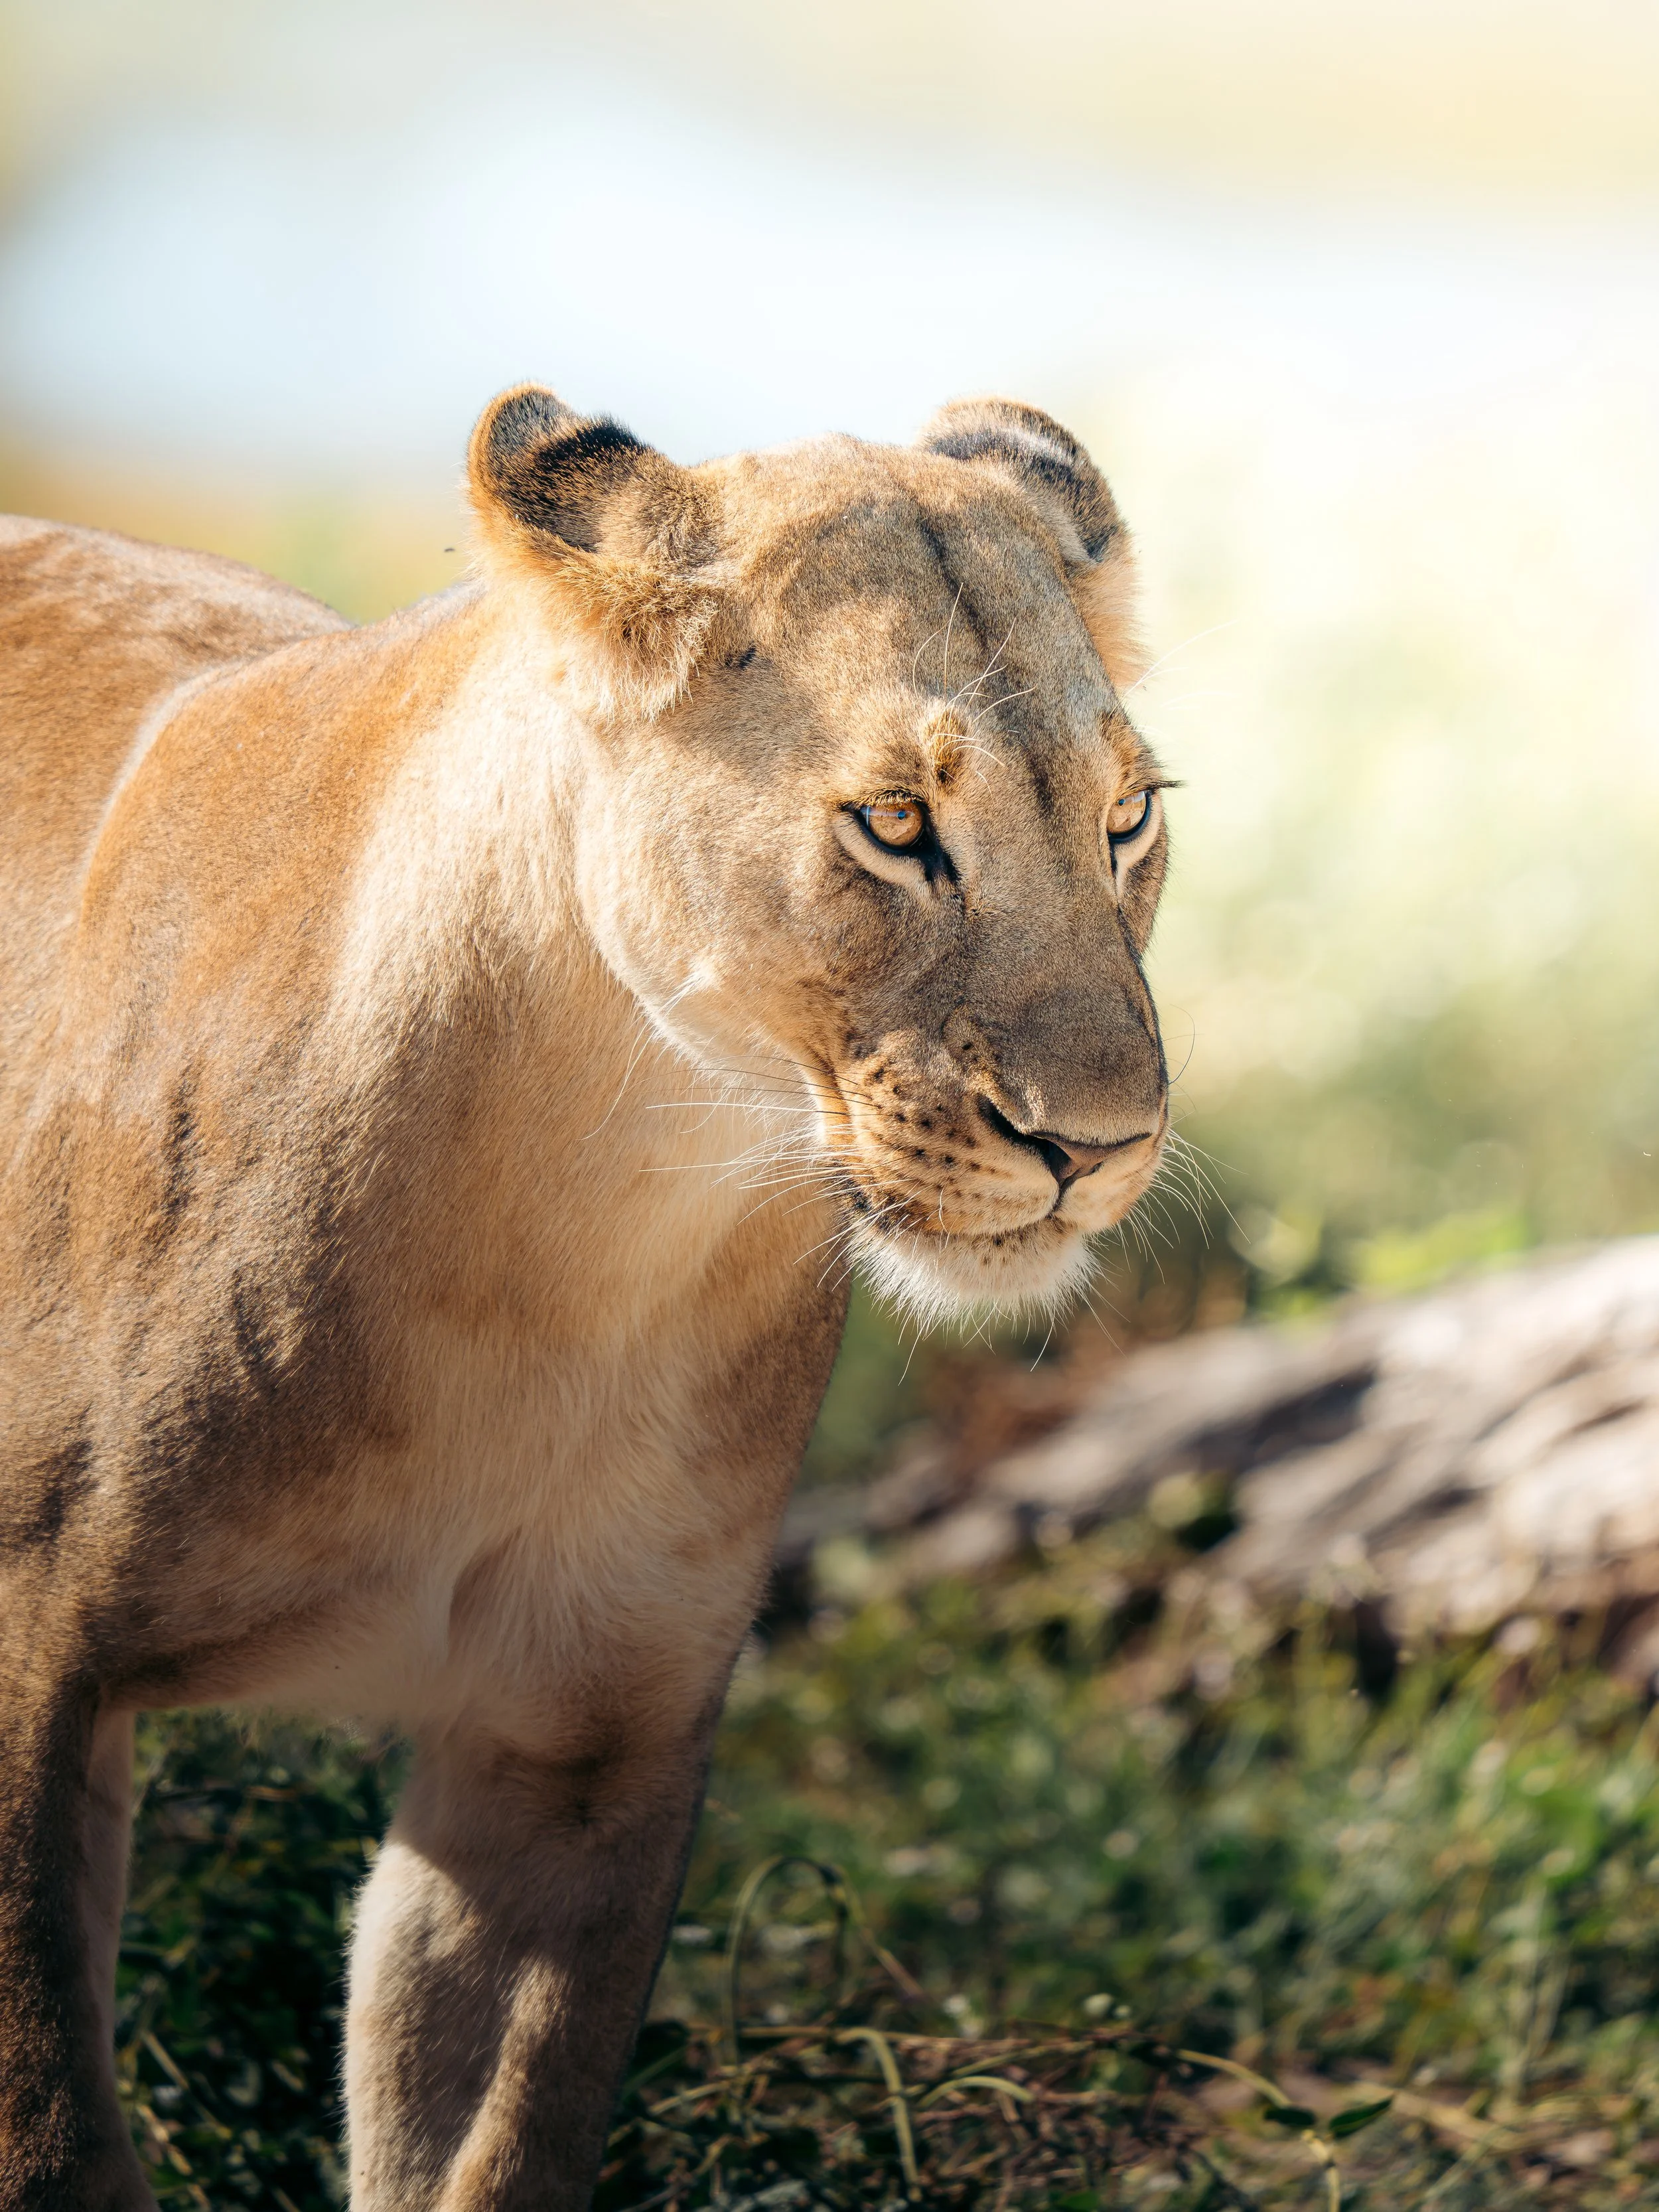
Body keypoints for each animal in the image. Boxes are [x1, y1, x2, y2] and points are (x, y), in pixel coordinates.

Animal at [0, 385, 1170, 2210]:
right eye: (895, 826)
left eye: (1127, 822)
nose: (1100, 1146)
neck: (589, 1223)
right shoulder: (28, 1682)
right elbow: (48, 2113)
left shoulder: (571, 1758)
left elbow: (496, 2137)